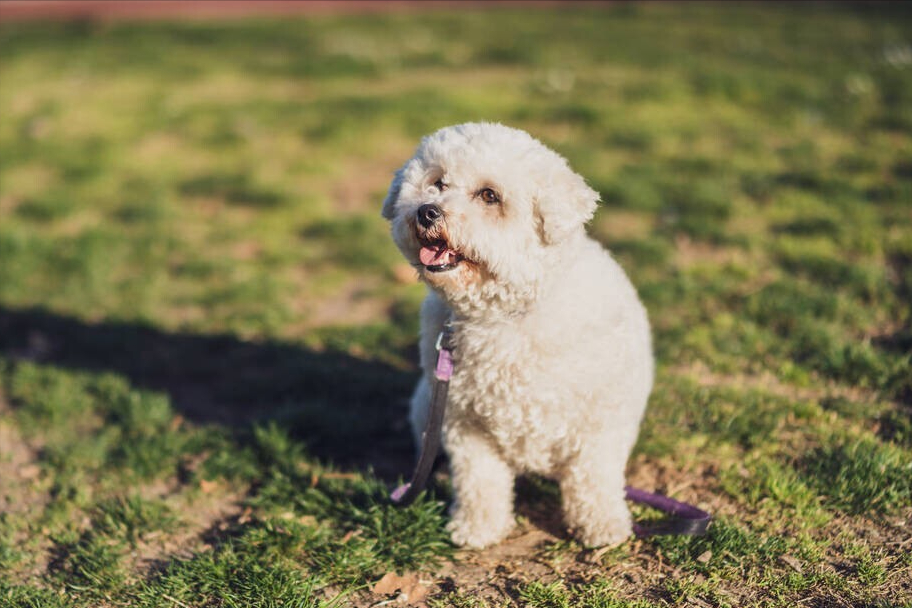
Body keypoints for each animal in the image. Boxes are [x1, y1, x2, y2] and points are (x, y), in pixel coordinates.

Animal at [382, 121, 652, 548]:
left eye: (489, 195)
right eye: (437, 182)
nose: (426, 211)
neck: (504, 317)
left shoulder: (601, 422)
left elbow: (594, 477)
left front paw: (603, 525)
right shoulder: (463, 423)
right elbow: (480, 482)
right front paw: (477, 528)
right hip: (427, 404)